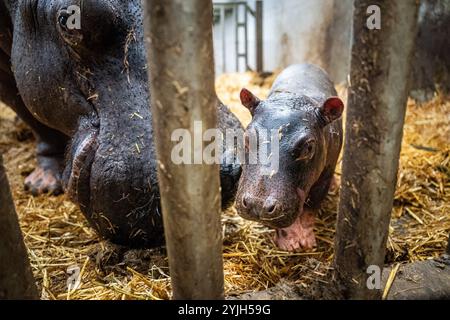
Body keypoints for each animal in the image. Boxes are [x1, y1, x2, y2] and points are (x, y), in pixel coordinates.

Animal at [234, 63, 342, 252]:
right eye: (247, 137)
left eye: (309, 147)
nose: (257, 204)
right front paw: (290, 244)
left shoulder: (325, 175)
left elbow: (311, 209)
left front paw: (306, 243)